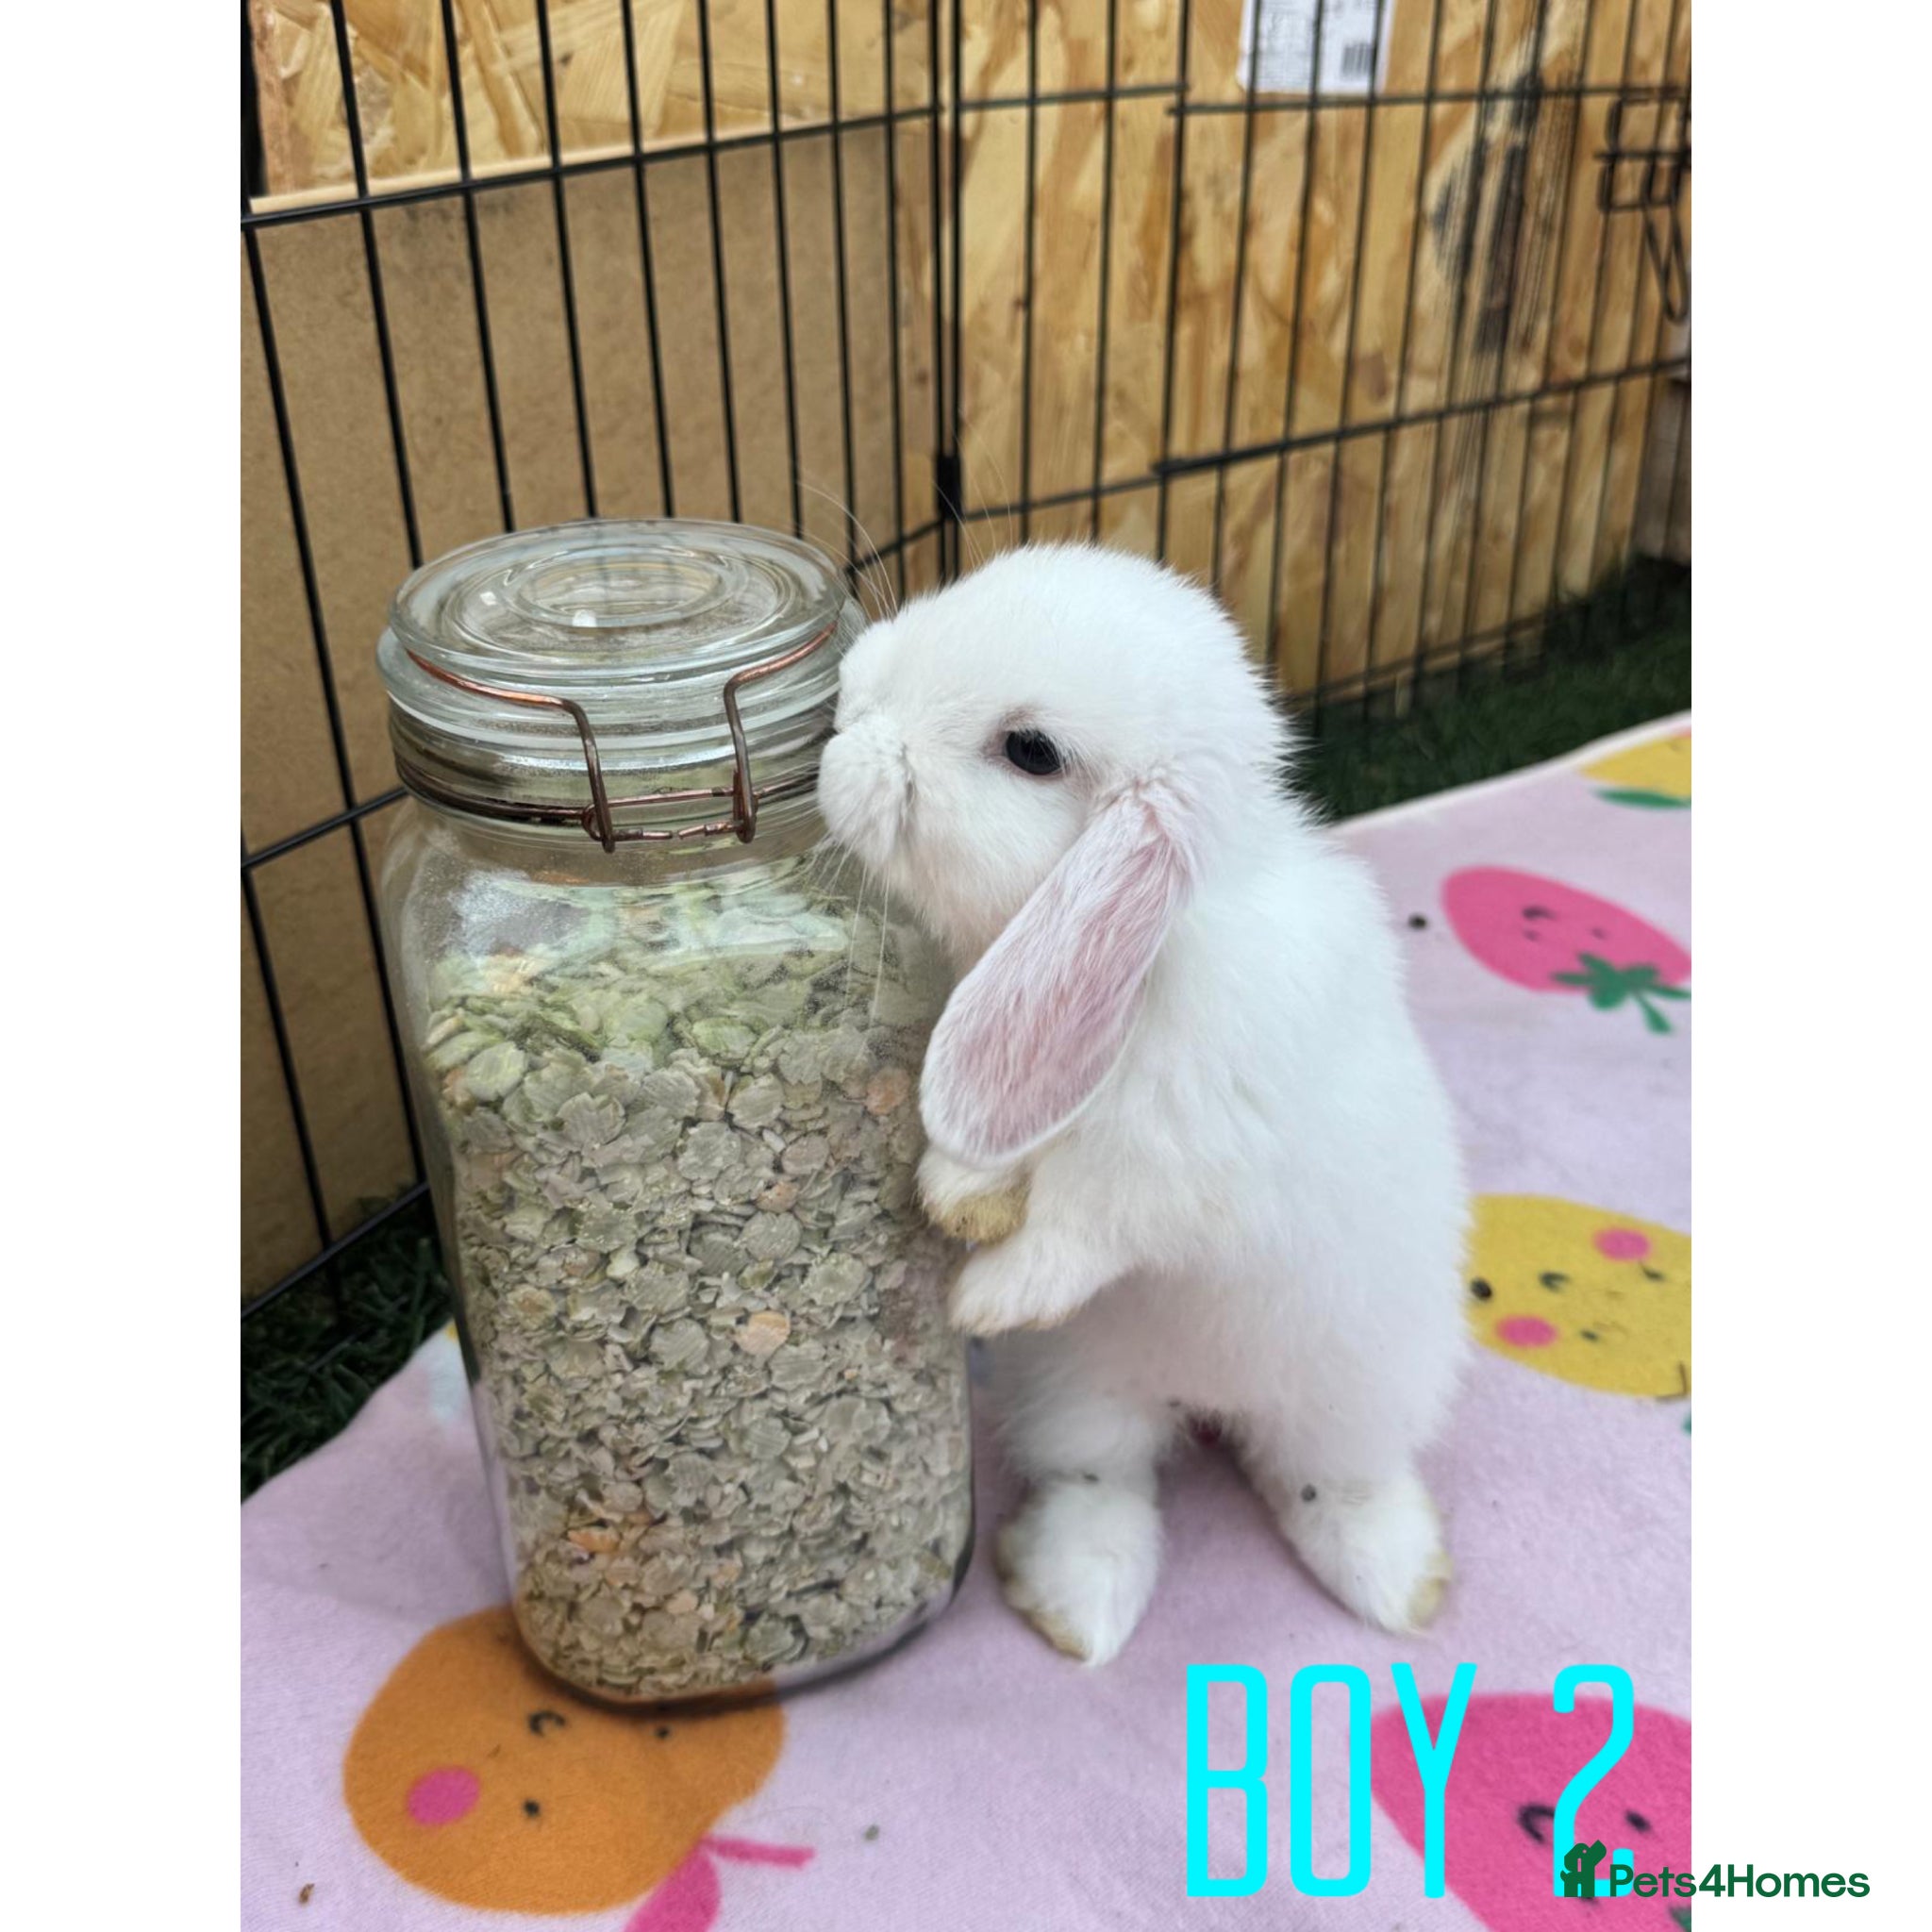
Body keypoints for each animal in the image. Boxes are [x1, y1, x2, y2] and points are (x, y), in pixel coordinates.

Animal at [815, 544, 1468, 1664]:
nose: (847, 707)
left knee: (1330, 1481)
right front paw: (959, 1199)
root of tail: (1209, 1396)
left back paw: (1394, 1583)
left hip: (1362, 1389)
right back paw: (1076, 1601)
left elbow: (1090, 1221)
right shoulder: (1032, 1061)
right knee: (1103, 1478)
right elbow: (1002, 1142)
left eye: (1030, 750)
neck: (1160, 951)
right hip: (1081, 1396)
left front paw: (986, 1295)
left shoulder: (1185, 1155)